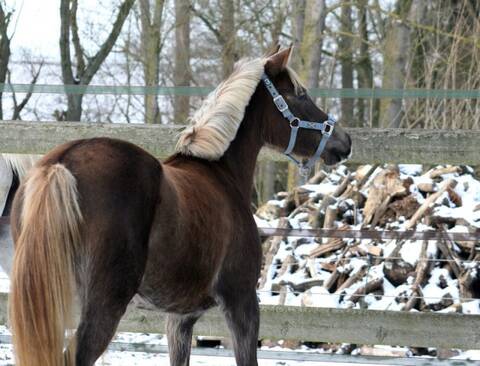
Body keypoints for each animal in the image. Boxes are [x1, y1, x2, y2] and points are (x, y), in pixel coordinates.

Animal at [8, 48, 352, 366]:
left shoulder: (179, 319)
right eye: (300, 94)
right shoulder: (241, 301)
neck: (219, 172)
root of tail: (61, 163)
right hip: (103, 305)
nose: (344, 141)